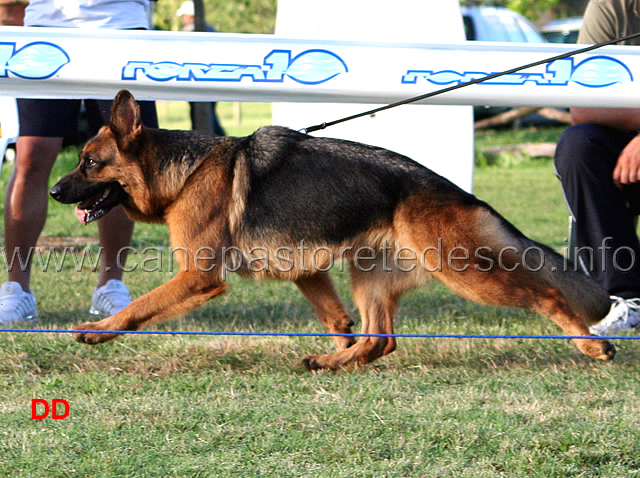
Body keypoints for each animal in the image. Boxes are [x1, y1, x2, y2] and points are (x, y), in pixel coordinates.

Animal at [51, 90, 616, 370]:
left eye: (89, 162)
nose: (55, 192)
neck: (184, 172)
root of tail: (458, 192)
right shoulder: (307, 271)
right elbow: (339, 321)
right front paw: (337, 344)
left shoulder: (197, 277)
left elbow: (139, 307)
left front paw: (98, 331)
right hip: (371, 278)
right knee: (380, 338)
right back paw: (332, 361)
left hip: (465, 273)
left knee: (547, 295)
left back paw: (592, 346)